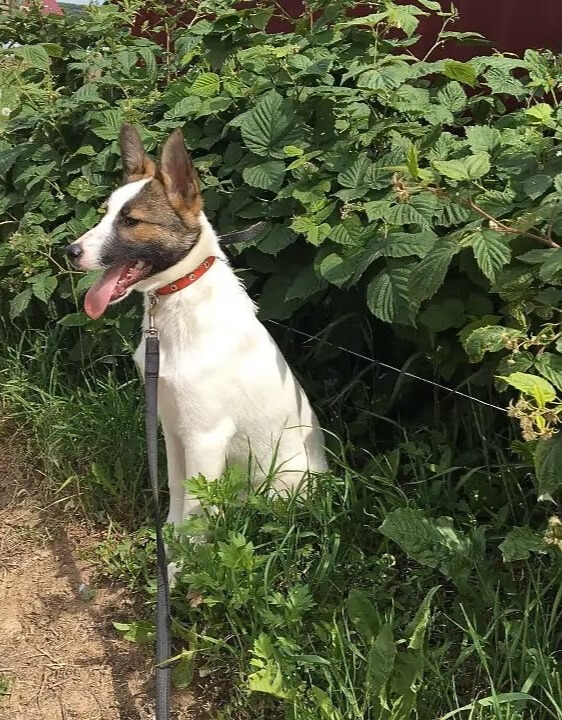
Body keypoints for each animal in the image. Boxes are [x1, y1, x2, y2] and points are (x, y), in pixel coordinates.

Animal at [65, 125, 326, 580]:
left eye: (130, 221)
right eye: (104, 213)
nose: (69, 251)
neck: (175, 306)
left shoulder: (205, 435)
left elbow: (196, 507)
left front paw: (182, 565)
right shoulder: (171, 426)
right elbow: (176, 489)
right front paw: (166, 541)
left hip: (283, 480)